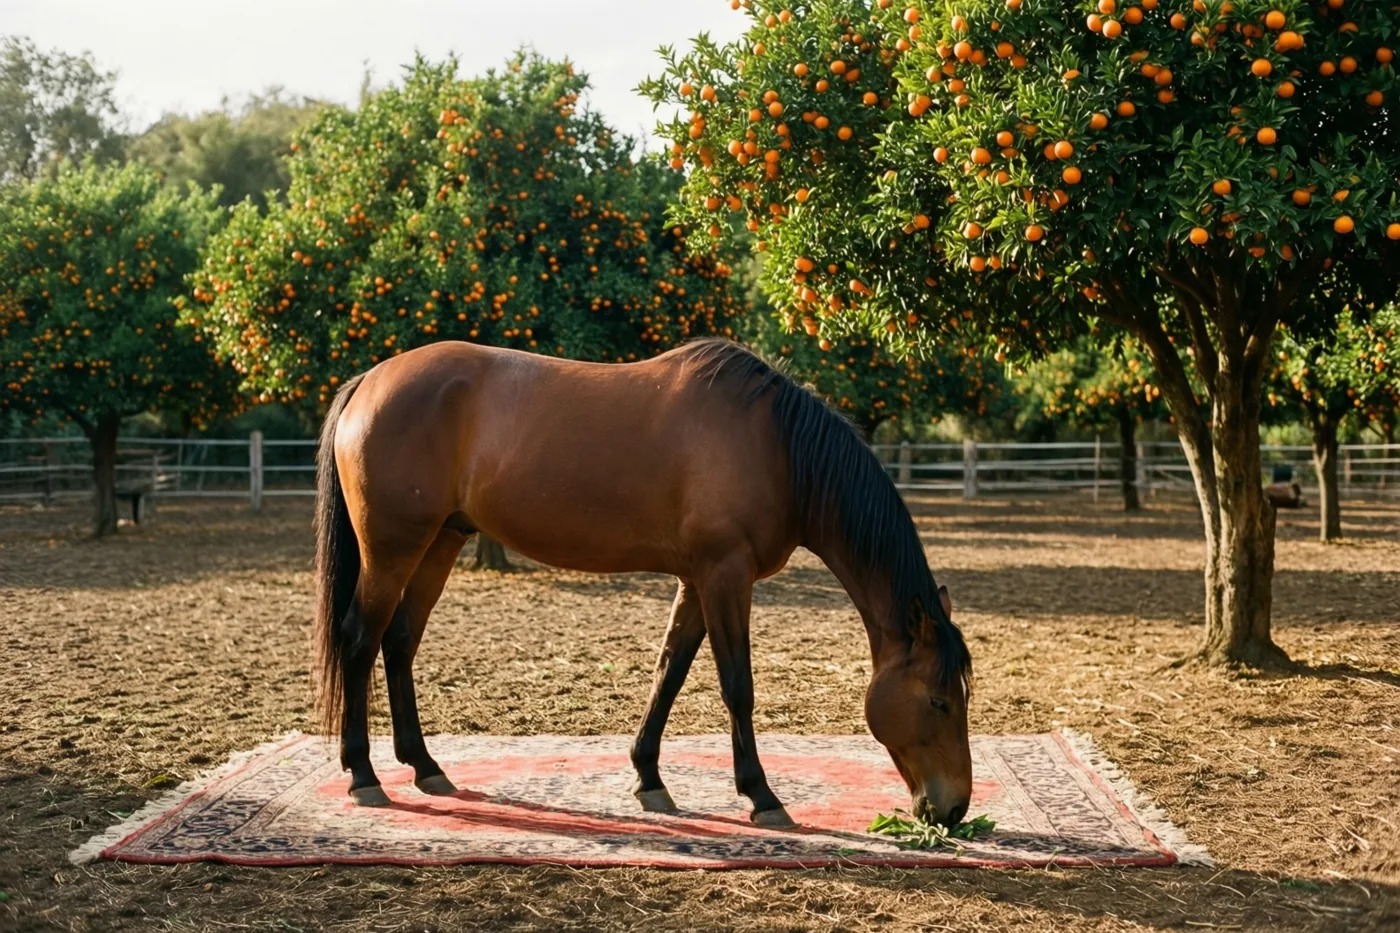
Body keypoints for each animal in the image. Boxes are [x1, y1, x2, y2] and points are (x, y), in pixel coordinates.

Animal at [313, 338, 973, 828]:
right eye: (938, 700)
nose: (954, 808)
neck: (778, 449)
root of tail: (370, 381)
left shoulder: (698, 580)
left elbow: (669, 673)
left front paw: (649, 778)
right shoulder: (725, 575)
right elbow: (737, 686)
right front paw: (761, 796)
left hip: (440, 543)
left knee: (399, 642)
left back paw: (425, 767)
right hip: (393, 549)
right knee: (360, 640)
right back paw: (364, 774)